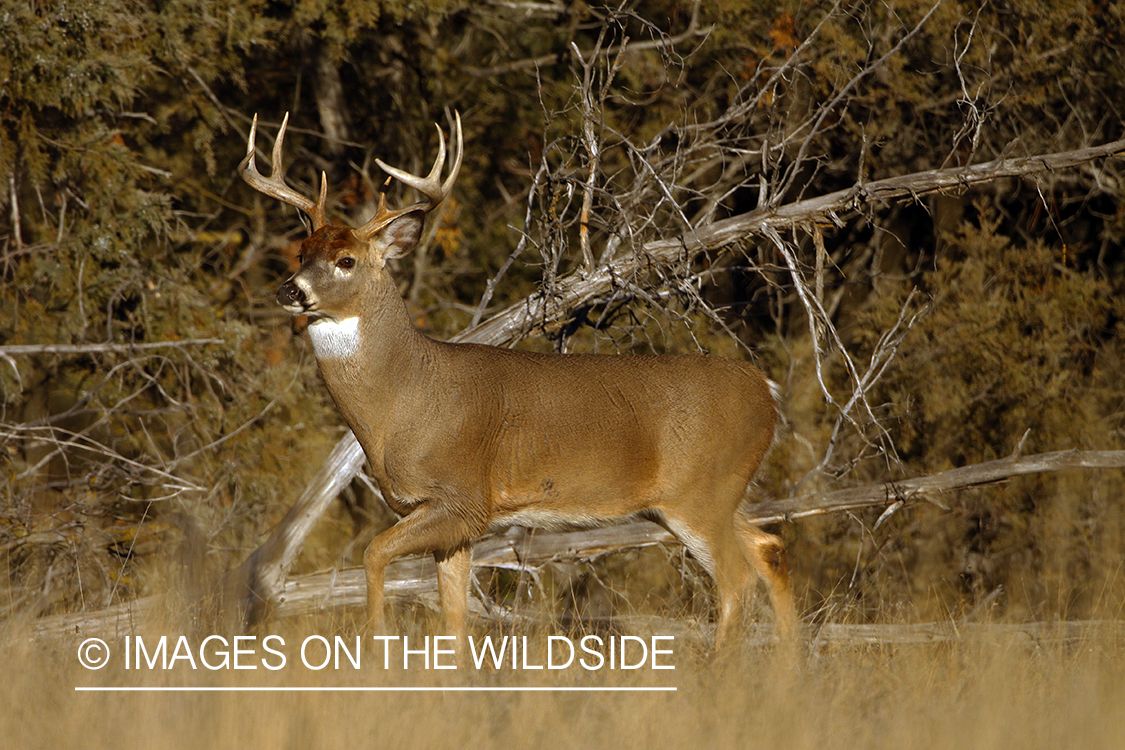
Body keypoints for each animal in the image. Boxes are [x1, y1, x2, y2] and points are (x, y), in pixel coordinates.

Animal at [238, 110, 801, 652]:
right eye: (302, 251)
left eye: (346, 260)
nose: (290, 289)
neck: (403, 401)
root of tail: (769, 393)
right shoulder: (458, 526)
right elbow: (454, 619)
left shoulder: (463, 498)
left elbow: (375, 554)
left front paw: (376, 653)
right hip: (710, 497)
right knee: (770, 547)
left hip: (700, 493)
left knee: (736, 581)